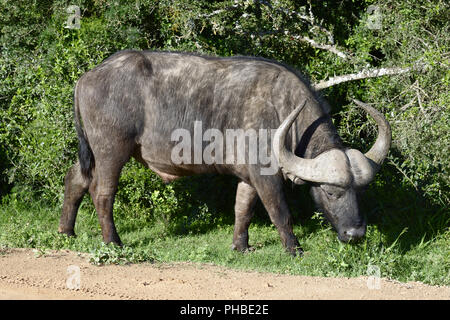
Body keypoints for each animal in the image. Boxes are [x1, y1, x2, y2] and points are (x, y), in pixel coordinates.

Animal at [59, 50, 390, 255]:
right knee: (102, 193)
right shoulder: (266, 177)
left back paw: (66, 231)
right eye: (332, 192)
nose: (356, 234)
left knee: (75, 178)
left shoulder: (248, 178)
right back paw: (113, 241)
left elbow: (242, 210)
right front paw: (294, 249)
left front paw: (240, 246)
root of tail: (86, 77)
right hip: (111, 151)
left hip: (93, 151)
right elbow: (280, 212)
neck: (283, 109)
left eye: (361, 192)